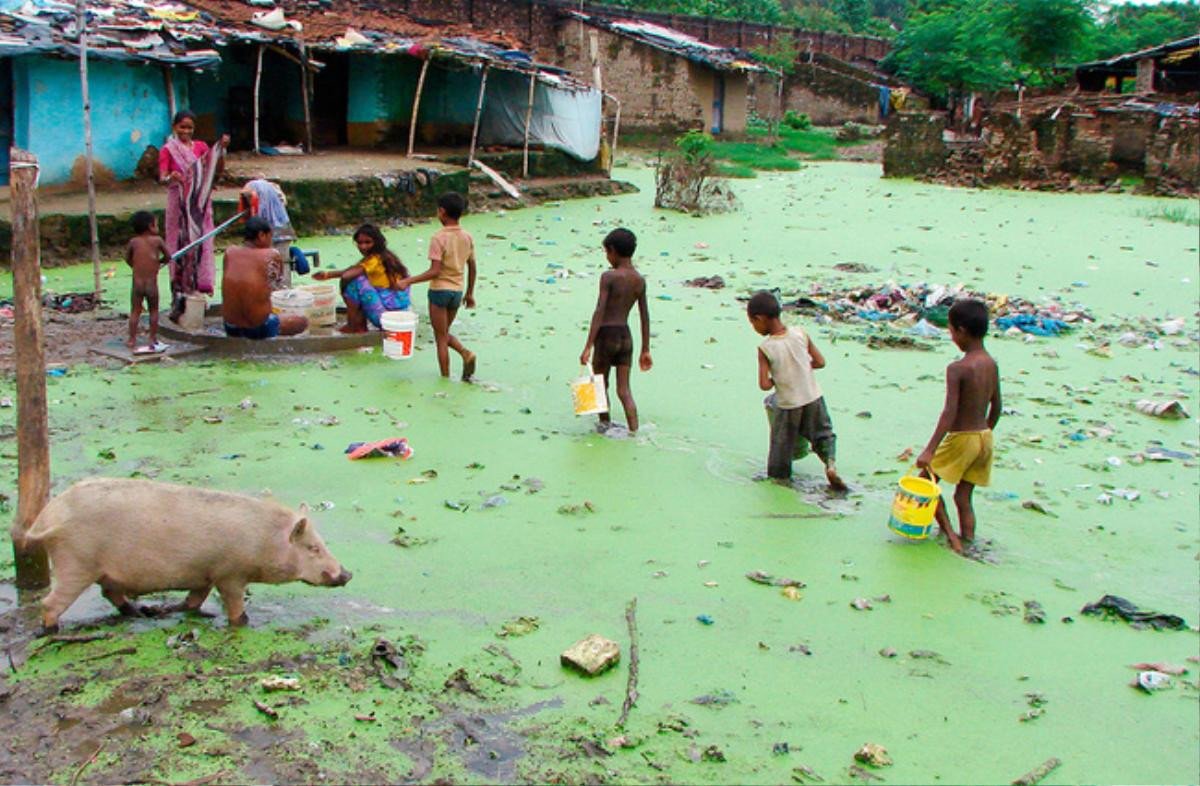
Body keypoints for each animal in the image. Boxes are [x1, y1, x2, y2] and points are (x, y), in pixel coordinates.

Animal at [21, 477, 350, 638]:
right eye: (313, 548)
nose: (347, 574)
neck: (263, 540)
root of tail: (46, 519)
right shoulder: (230, 574)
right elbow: (234, 606)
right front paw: (244, 623)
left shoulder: (205, 574)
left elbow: (194, 600)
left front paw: (189, 610)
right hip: (75, 563)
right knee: (50, 603)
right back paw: (51, 633)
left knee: (110, 593)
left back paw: (141, 614)